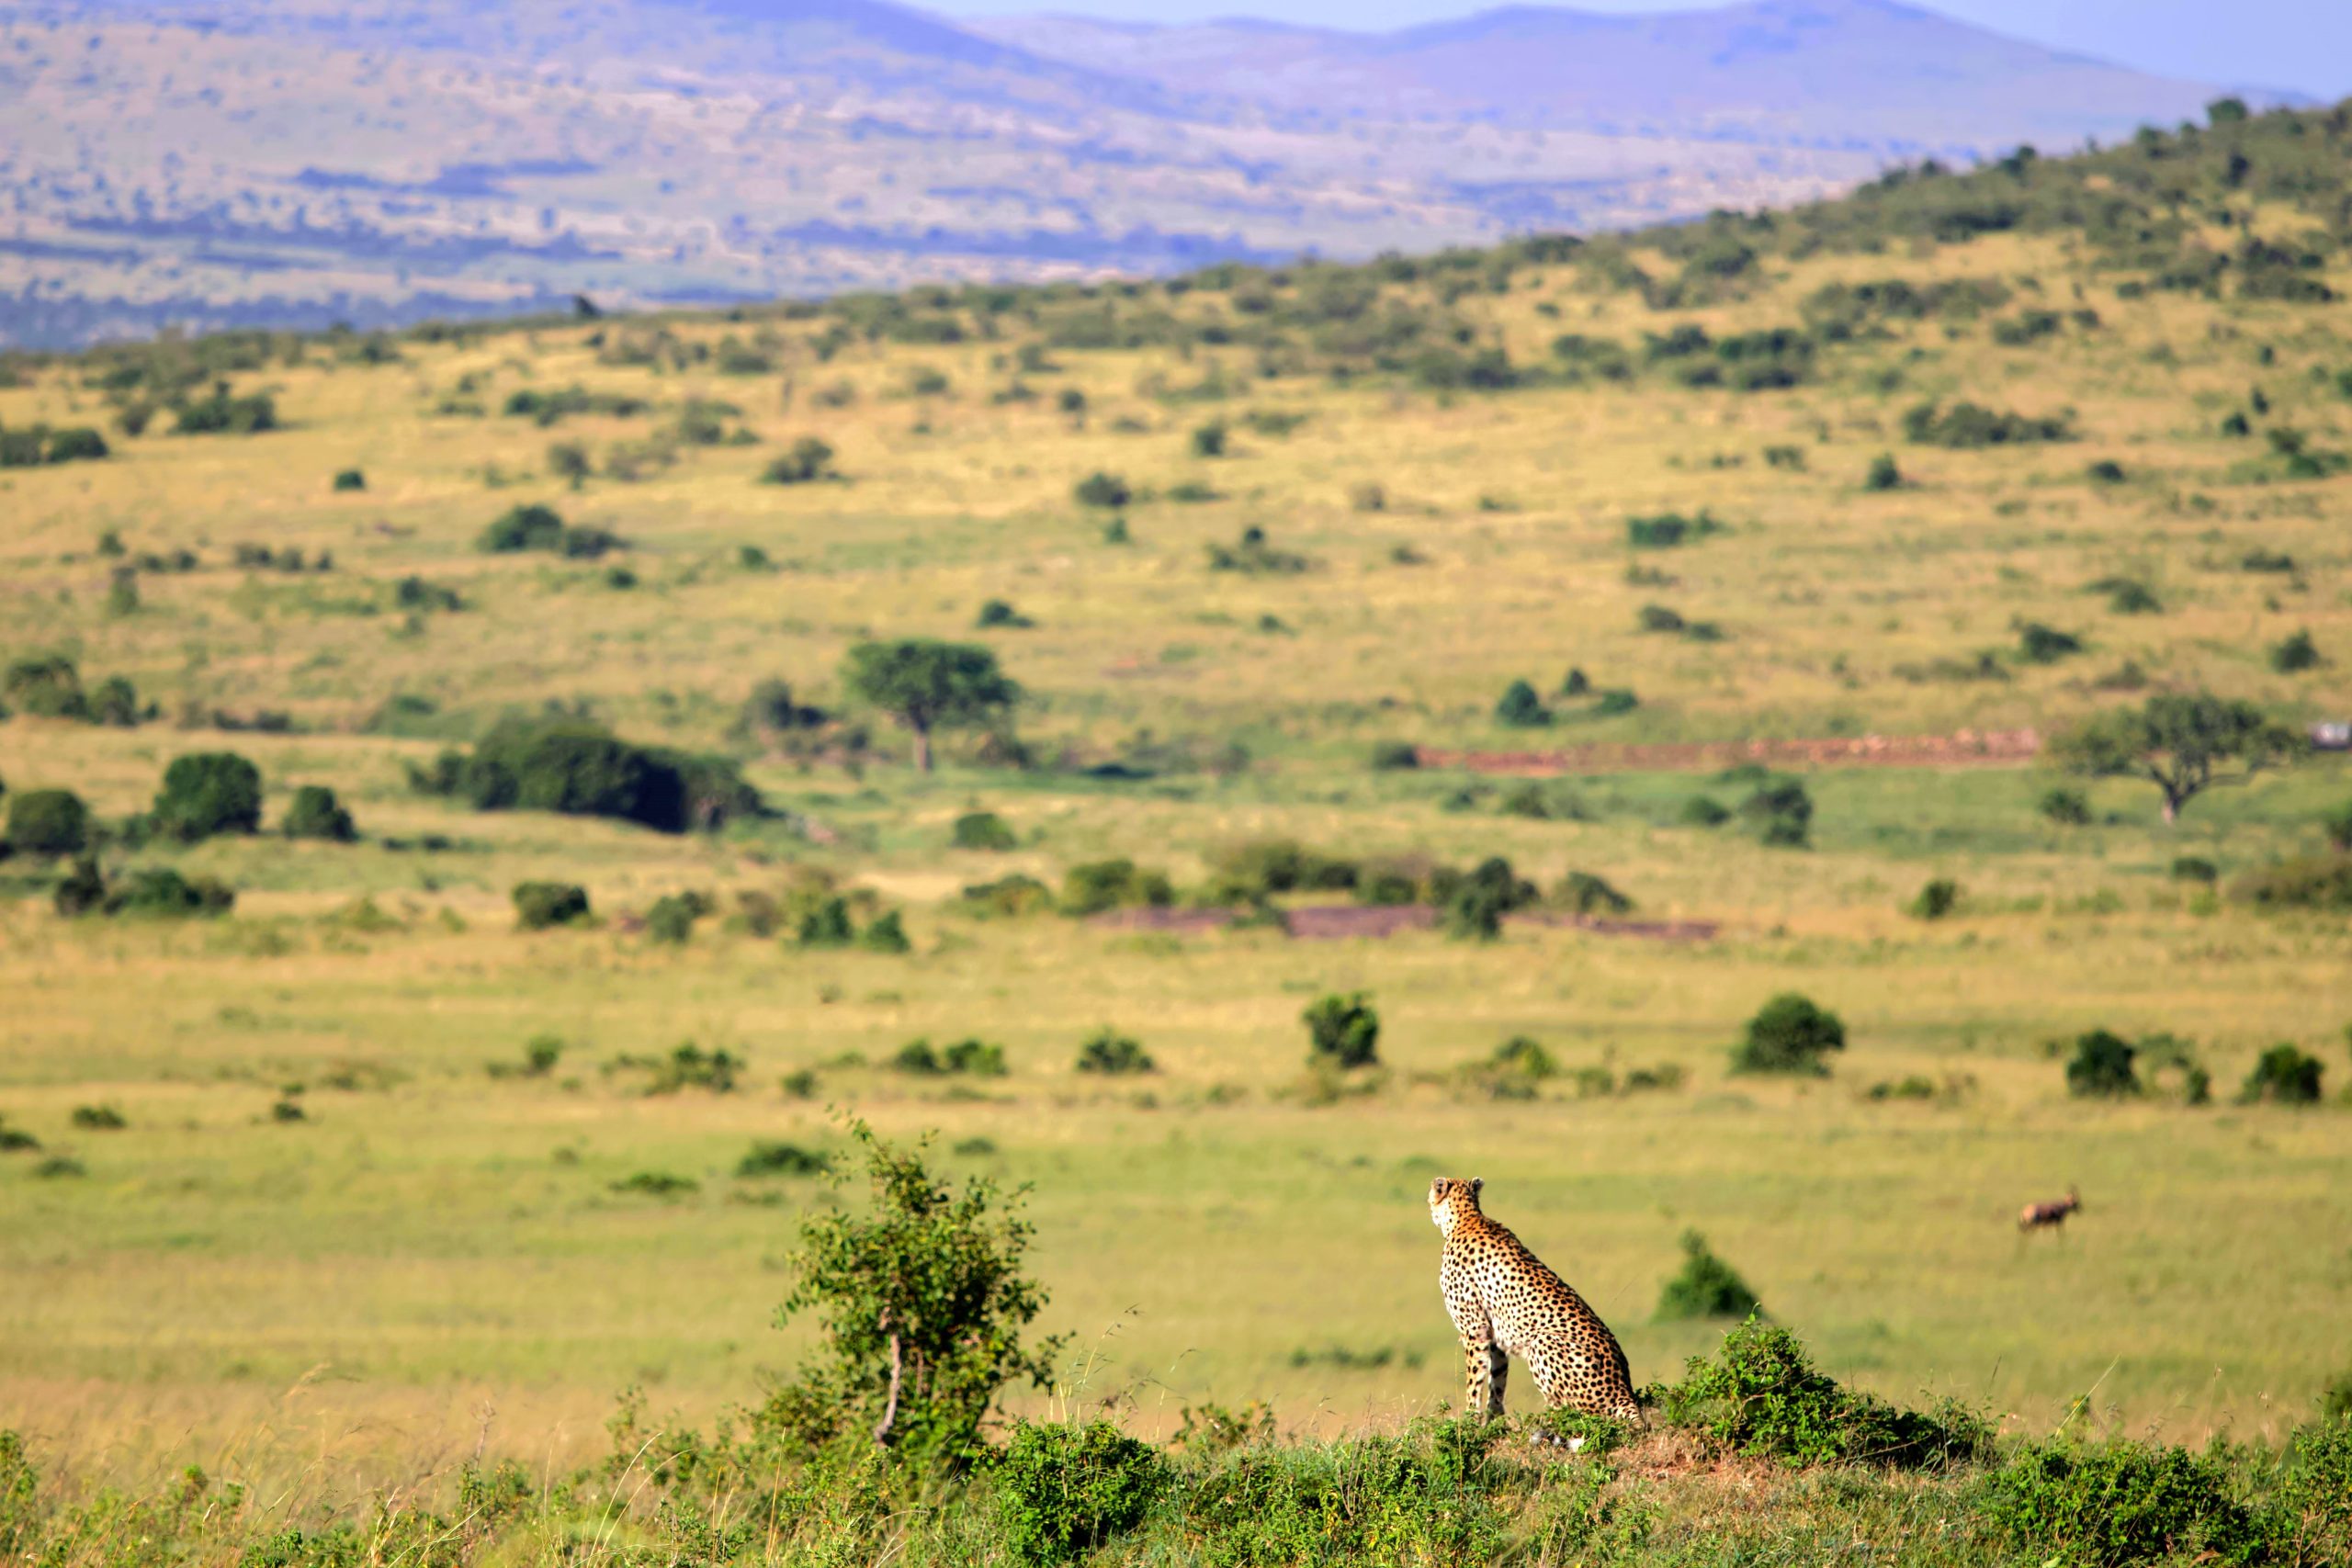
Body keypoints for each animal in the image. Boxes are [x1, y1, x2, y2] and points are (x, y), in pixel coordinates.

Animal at [1420, 1175, 1646, 1419]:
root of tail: (1623, 1387)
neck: (1465, 1217)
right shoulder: (1496, 1335)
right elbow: (1497, 1381)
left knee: (1579, 1411)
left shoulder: (1474, 1327)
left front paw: (1470, 1418)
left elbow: (1474, 1381)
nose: (1428, 1201)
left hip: (1542, 1342)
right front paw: (1495, 1419)